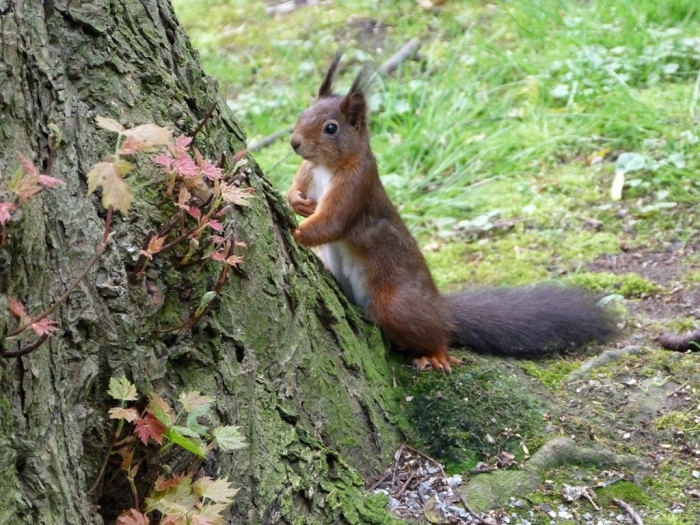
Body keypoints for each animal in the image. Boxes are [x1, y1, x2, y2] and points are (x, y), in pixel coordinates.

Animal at [286, 52, 616, 371]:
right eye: (302, 113)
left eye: (331, 128)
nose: (294, 143)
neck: (326, 167)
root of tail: (441, 307)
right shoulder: (309, 173)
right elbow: (297, 190)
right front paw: (296, 202)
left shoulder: (356, 188)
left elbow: (332, 222)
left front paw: (295, 232)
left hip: (395, 305)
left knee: (434, 333)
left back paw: (435, 354)